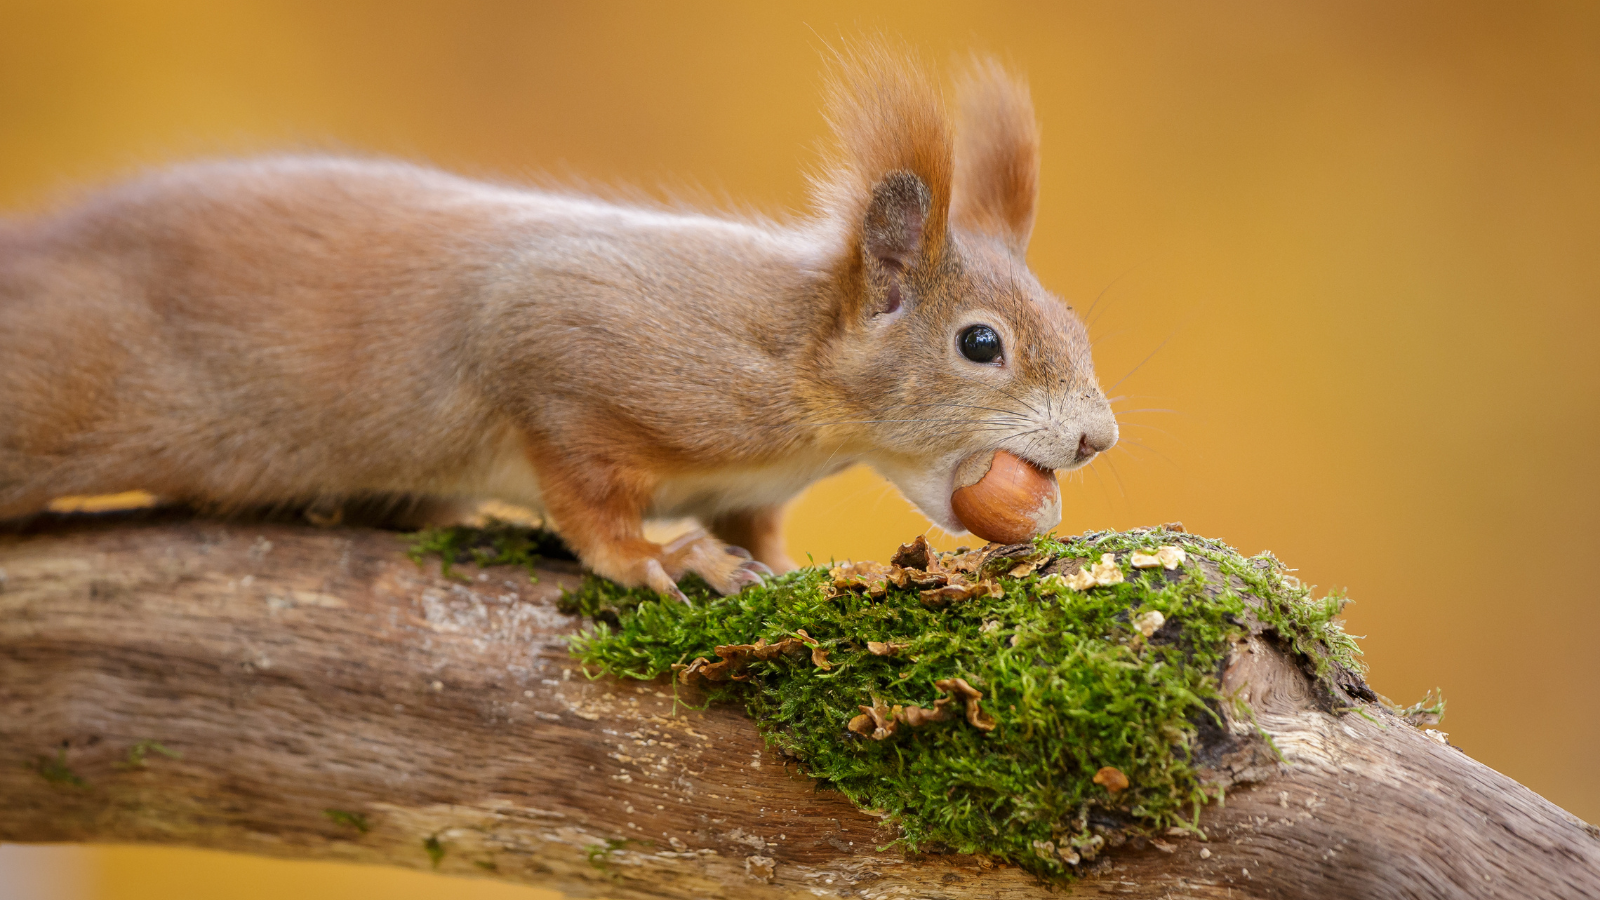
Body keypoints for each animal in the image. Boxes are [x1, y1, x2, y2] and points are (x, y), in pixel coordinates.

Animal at [3, 47, 1113, 595]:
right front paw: (657, 559)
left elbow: (756, 524)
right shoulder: (568, 342)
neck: (790, 353)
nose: (1098, 439)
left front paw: (783, 564)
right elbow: (581, 485)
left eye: (1073, 319)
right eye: (980, 344)